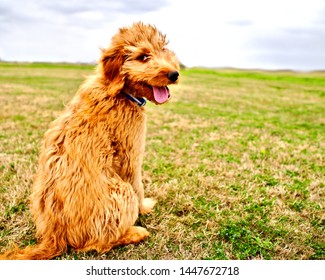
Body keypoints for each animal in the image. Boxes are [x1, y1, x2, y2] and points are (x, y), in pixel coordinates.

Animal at [1, 22, 178, 260]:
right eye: (143, 56)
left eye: (163, 49)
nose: (174, 74)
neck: (117, 91)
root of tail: (54, 236)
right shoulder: (130, 153)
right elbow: (137, 185)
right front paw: (145, 207)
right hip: (120, 191)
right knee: (97, 243)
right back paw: (135, 232)